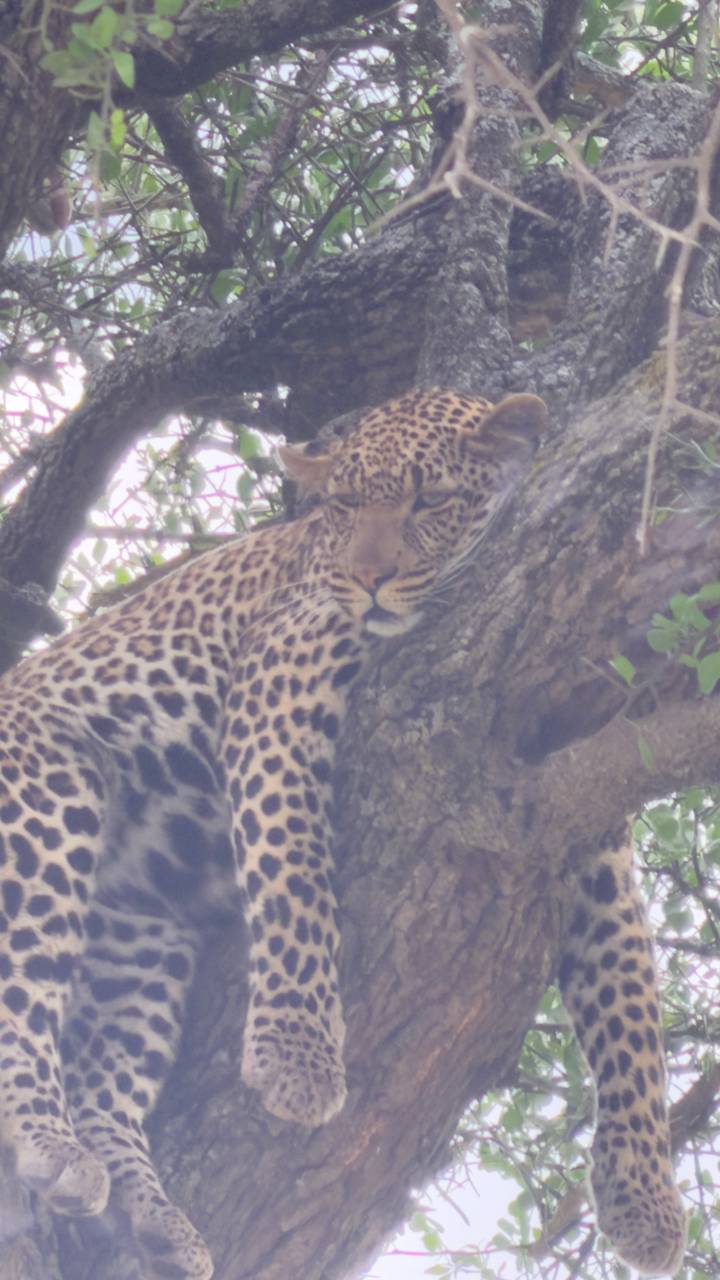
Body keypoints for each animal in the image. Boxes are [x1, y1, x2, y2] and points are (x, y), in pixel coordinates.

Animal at [0, 387, 685, 1279]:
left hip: (143, 936)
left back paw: (152, 1217)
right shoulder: (278, 679)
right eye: (345, 506)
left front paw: (646, 1199)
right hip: (48, 795)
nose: (369, 581)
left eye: (430, 501)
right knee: (22, 999)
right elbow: (292, 869)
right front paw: (297, 1059)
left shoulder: (589, 816)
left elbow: (633, 1005)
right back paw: (47, 1143)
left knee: (101, 1080)